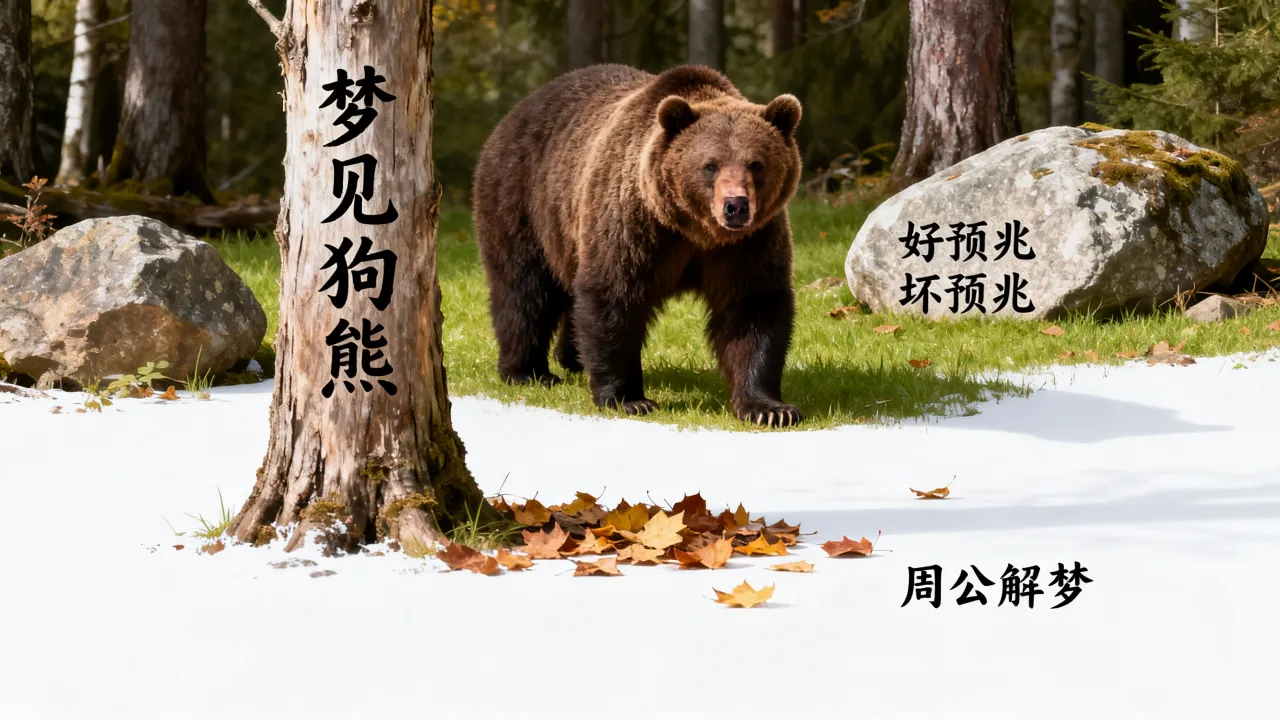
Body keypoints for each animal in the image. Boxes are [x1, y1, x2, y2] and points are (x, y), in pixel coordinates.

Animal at [472, 64, 804, 428]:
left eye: (756, 164)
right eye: (711, 165)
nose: (735, 205)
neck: (694, 230)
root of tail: (515, 112)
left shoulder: (748, 244)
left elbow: (752, 307)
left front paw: (769, 408)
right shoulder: (635, 226)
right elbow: (614, 296)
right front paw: (628, 399)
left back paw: (573, 359)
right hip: (523, 199)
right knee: (524, 290)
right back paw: (527, 372)